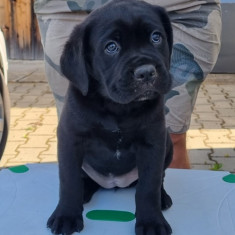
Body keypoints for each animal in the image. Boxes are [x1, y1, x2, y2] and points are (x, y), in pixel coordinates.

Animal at [46, 0, 173, 234]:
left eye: (156, 37)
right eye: (111, 47)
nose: (146, 72)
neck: (117, 108)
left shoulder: (153, 142)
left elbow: (148, 185)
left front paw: (152, 222)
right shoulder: (70, 138)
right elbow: (69, 180)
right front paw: (66, 216)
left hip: (167, 144)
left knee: (158, 178)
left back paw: (162, 198)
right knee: (83, 180)